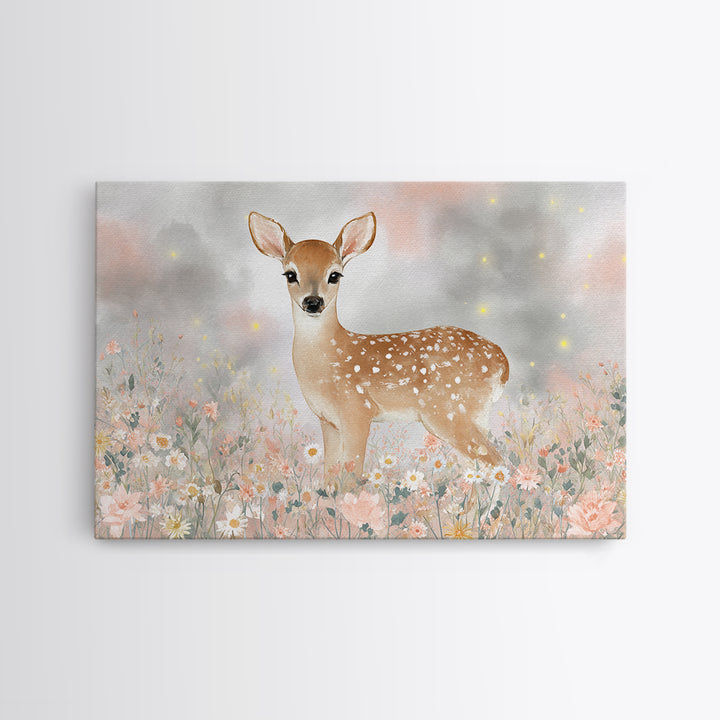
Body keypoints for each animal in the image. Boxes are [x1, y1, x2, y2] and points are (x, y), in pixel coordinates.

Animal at [249, 211, 509, 489]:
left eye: (335, 275)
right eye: (290, 274)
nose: (313, 302)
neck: (329, 357)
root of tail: (503, 364)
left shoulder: (357, 410)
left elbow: (351, 475)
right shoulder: (328, 420)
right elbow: (330, 476)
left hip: (447, 412)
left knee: (495, 461)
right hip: (471, 415)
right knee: (477, 467)